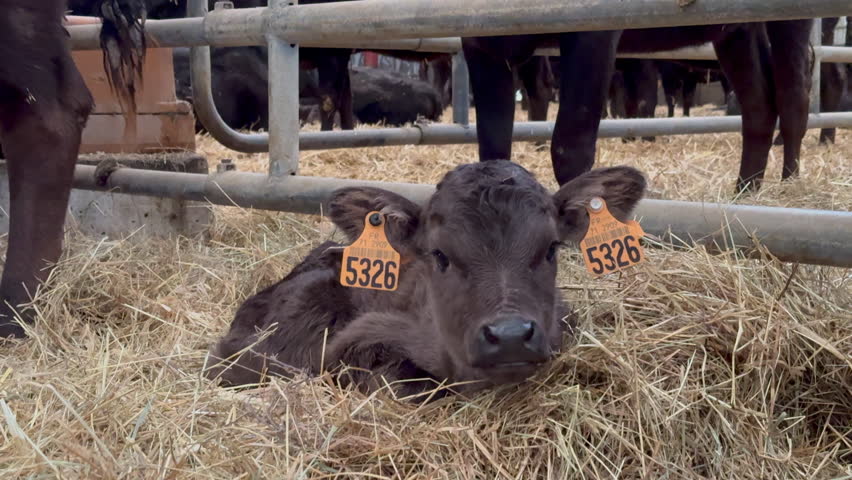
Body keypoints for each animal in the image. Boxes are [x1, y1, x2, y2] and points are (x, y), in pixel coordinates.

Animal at [463, 21, 814, 193]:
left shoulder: (594, 34)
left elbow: (570, 147)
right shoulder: (480, 43)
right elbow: (493, 149)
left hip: (791, 23)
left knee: (793, 99)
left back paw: (790, 184)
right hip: (736, 33)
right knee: (759, 105)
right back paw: (745, 192)